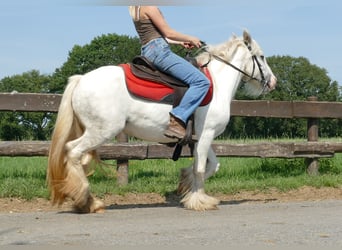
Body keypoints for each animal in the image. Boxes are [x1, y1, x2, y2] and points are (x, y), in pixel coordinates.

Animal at [46, 30, 276, 212]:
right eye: (262, 57)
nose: (273, 82)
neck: (217, 85)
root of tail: (80, 80)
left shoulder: (200, 137)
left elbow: (211, 165)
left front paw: (184, 183)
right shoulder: (206, 134)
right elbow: (201, 168)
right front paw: (200, 201)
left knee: (80, 160)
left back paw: (87, 200)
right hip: (101, 132)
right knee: (72, 151)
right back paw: (85, 200)